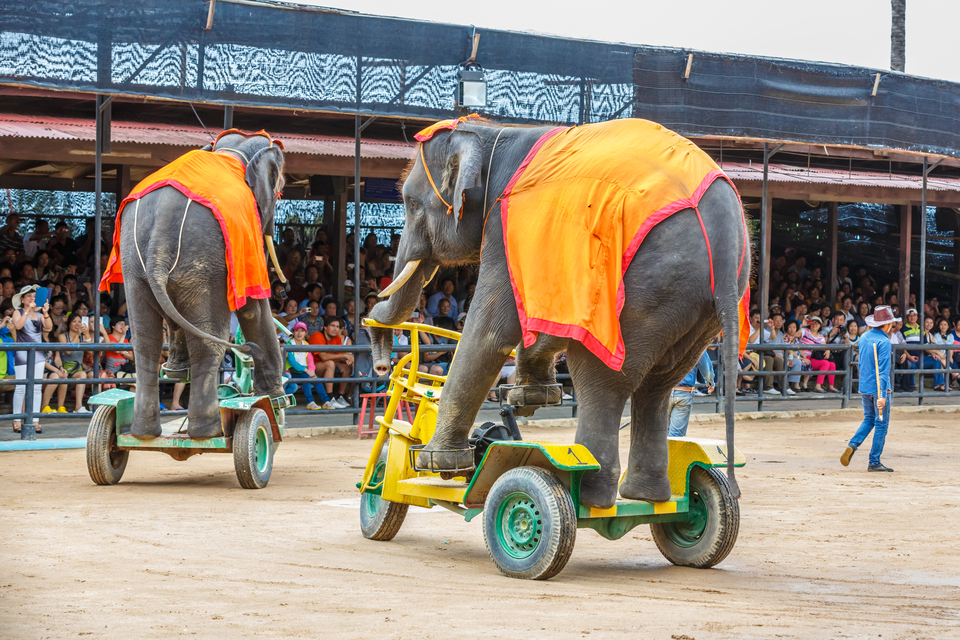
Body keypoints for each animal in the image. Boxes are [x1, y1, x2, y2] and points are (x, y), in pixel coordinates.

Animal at [102, 130, 288, 440]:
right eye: (280, 188)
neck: (233, 151)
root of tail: (159, 240)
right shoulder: (245, 235)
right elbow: (254, 307)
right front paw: (278, 399)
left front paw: (177, 372)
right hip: (204, 266)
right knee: (208, 340)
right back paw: (208, 432)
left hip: (136, 267)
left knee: (145, 340)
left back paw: (144, 432)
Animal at [368, 119, 752, 510]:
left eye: (411, 203)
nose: (382, 365)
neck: (493, 132)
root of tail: (724, 230)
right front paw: (530, 400)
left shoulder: (505, 230)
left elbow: (492, 328)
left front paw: (437, 463)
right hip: (697, 305)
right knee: (658, 384)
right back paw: (647, 496)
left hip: (650, 284)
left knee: (600, 379)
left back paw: (590, 496)